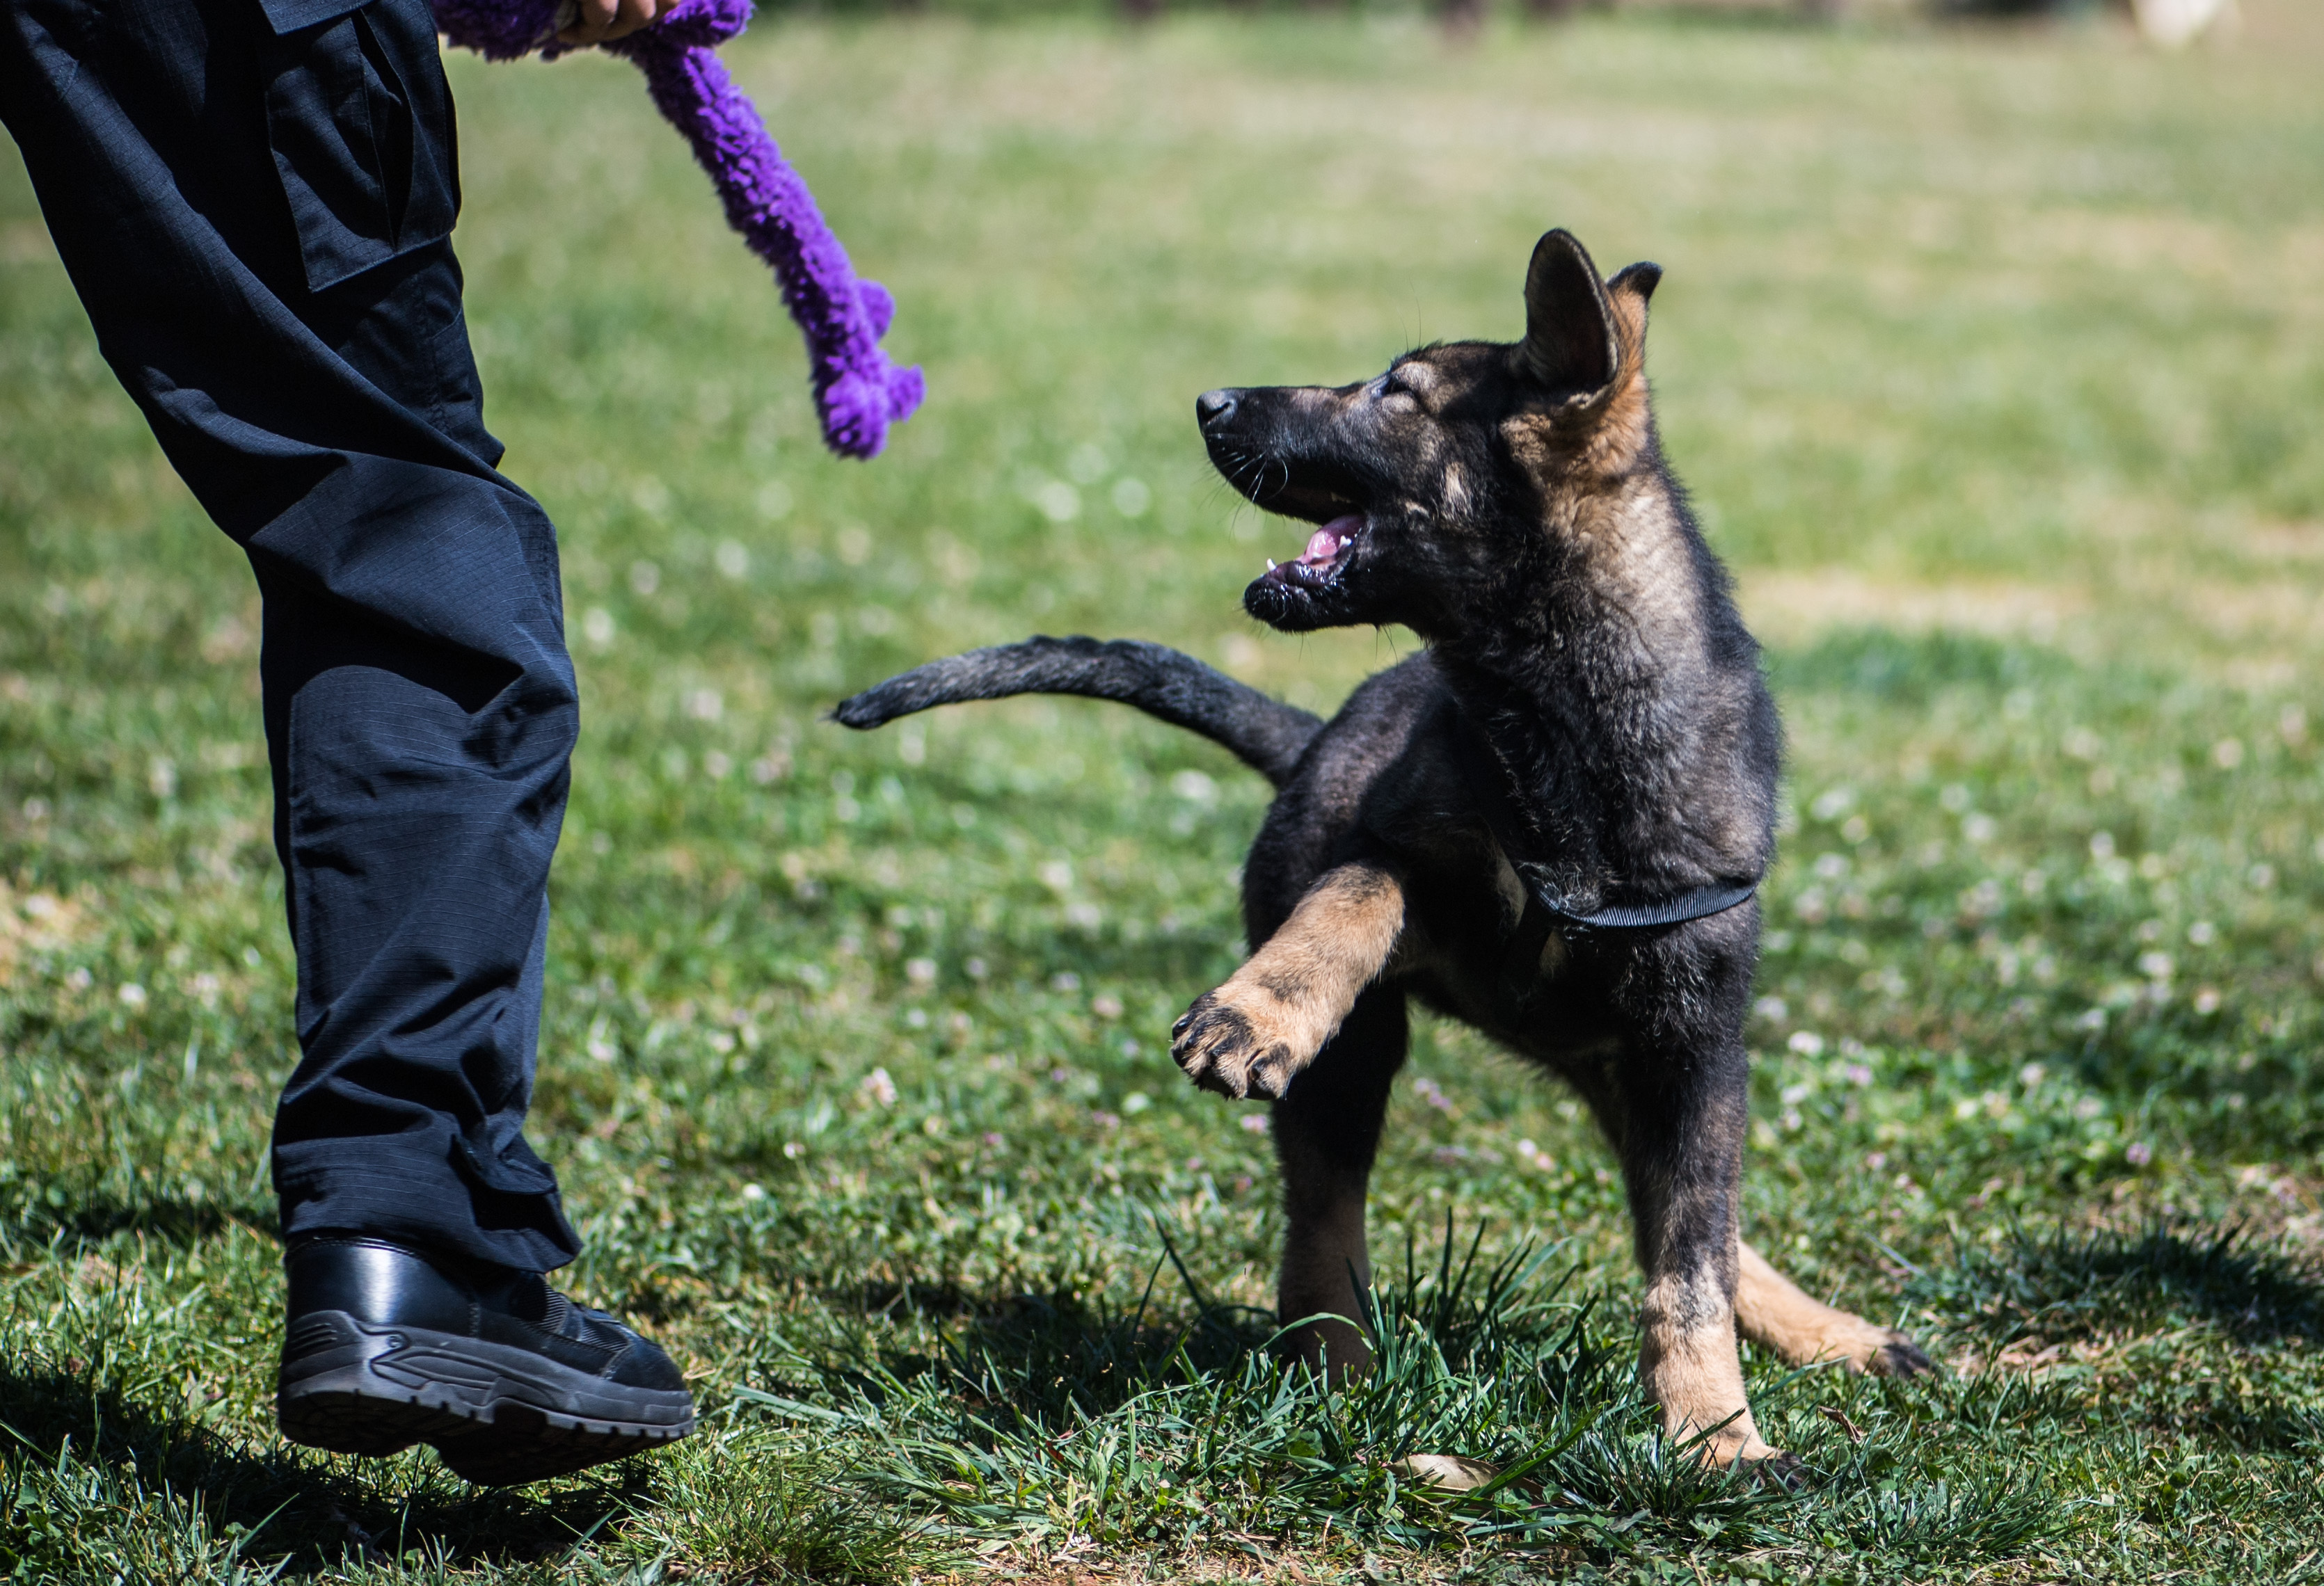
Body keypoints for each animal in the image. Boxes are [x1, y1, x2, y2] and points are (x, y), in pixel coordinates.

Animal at [845, 226, 1933, 1477]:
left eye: (1395, 394)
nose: (1209, 401)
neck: (1548, 729)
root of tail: (1311, 738)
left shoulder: (1693, 1037)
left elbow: (1688, 1262)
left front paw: (1719, 1438)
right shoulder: (1407, 855)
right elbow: (1356, 900)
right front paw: (1255, 1012)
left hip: (1624, 1061)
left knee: (1686, 1214)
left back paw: (1826, 1334)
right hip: (1370, 1056)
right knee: (1323, 1230)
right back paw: (1342, 1388)